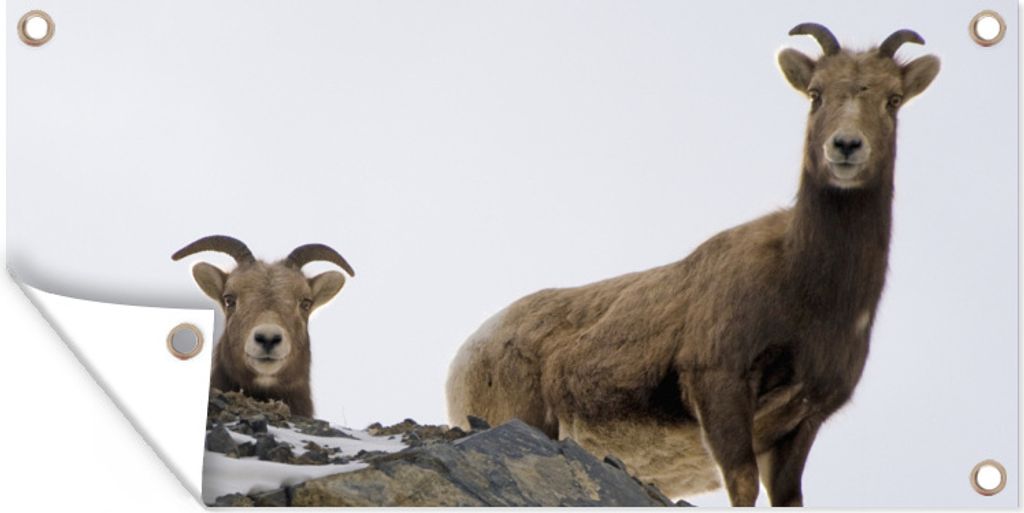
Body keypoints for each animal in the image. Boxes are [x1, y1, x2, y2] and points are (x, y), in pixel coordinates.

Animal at [446, 24, 939, 506]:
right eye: (816, 93)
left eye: (893, 99)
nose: (847, 146)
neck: (808, 291)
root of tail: (466, 355)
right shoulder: (719, 385)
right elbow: (742, 485)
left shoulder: (802, 420)